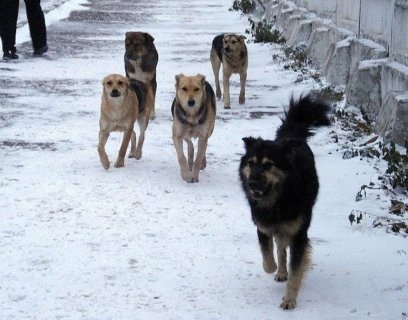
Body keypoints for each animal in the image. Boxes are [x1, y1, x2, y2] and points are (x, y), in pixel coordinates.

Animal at [239, 94, 332, 308]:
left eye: (268, 165)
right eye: (250, 163)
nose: (252, 183)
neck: (278, 199)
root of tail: (291, 135)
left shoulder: (298, 234)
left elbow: (296, 269)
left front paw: (289, 300)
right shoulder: (263, 226)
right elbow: (268, 257)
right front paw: (275, 268)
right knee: (280, 247)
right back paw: (281, 271)